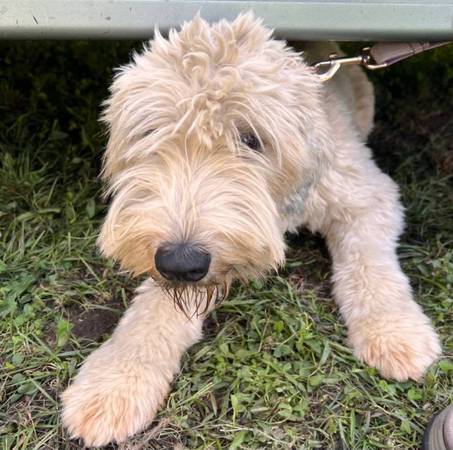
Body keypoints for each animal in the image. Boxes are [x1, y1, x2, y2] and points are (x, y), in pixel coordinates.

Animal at [59, 13, 438, 446]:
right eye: (149, 134)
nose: (179, 262)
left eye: (251, 139)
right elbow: (154, 308)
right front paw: (116, 381)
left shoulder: (365, 193)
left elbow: (369, 264)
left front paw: (394, 332)